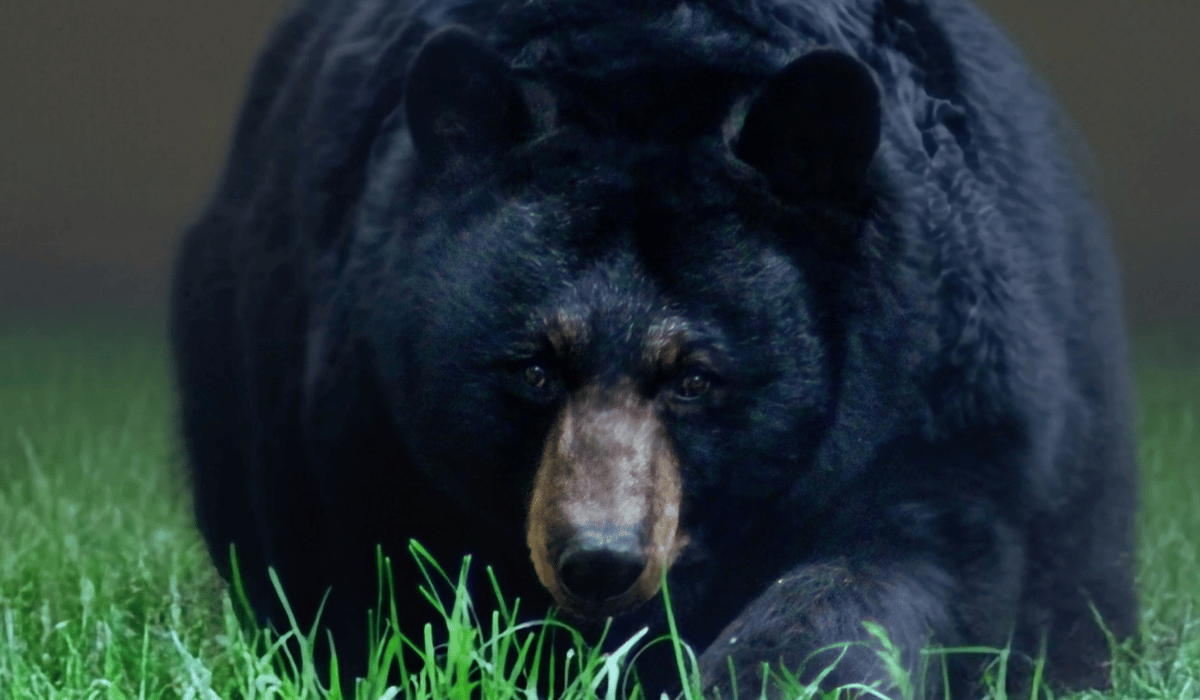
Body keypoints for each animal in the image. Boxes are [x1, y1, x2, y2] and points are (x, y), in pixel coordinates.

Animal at [169, 0, 1138, 696]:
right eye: (533, 368)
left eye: (695, 379)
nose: (600, 560)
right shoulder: (355, 420)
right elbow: (386, 585)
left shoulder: (940, 376)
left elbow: (889, 567)